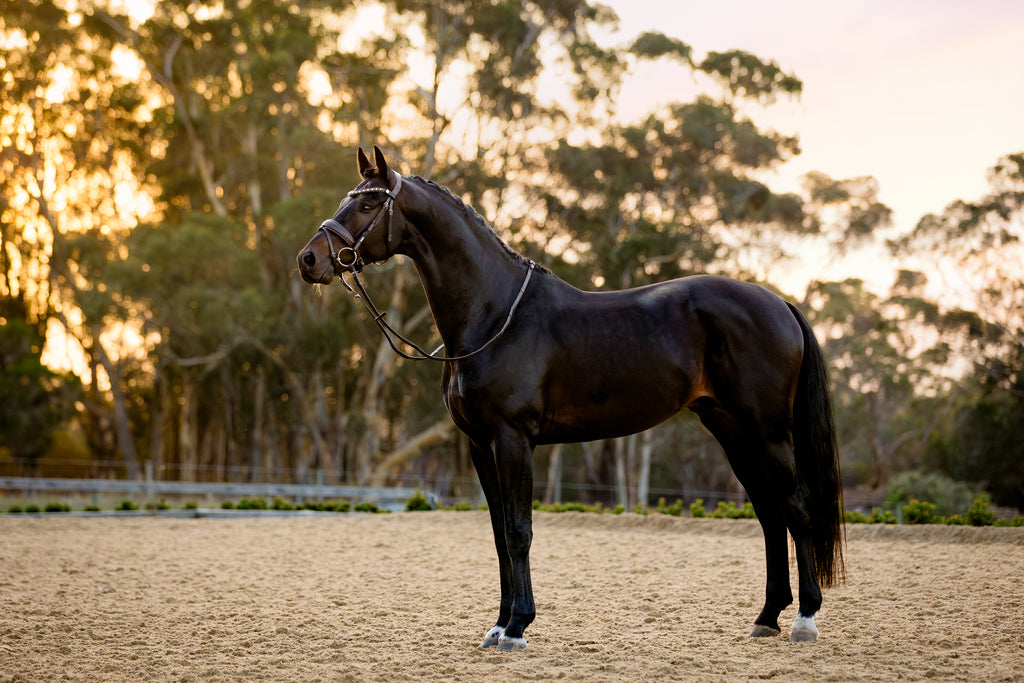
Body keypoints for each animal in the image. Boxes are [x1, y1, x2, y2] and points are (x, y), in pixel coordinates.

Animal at [297, 146, 845, 651]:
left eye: (369, 204)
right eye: (349, 198)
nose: (309, 260)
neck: (495, 315)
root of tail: (778, 302)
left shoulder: (513, 440)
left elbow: (519, 531)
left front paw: (517, 627)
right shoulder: (480, 446)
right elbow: (498, 534)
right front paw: (498, 625)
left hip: (768, 431)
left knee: (796, 508)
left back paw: (804, 619)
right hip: (731, 429)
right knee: (770, 514)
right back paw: (767, 616)